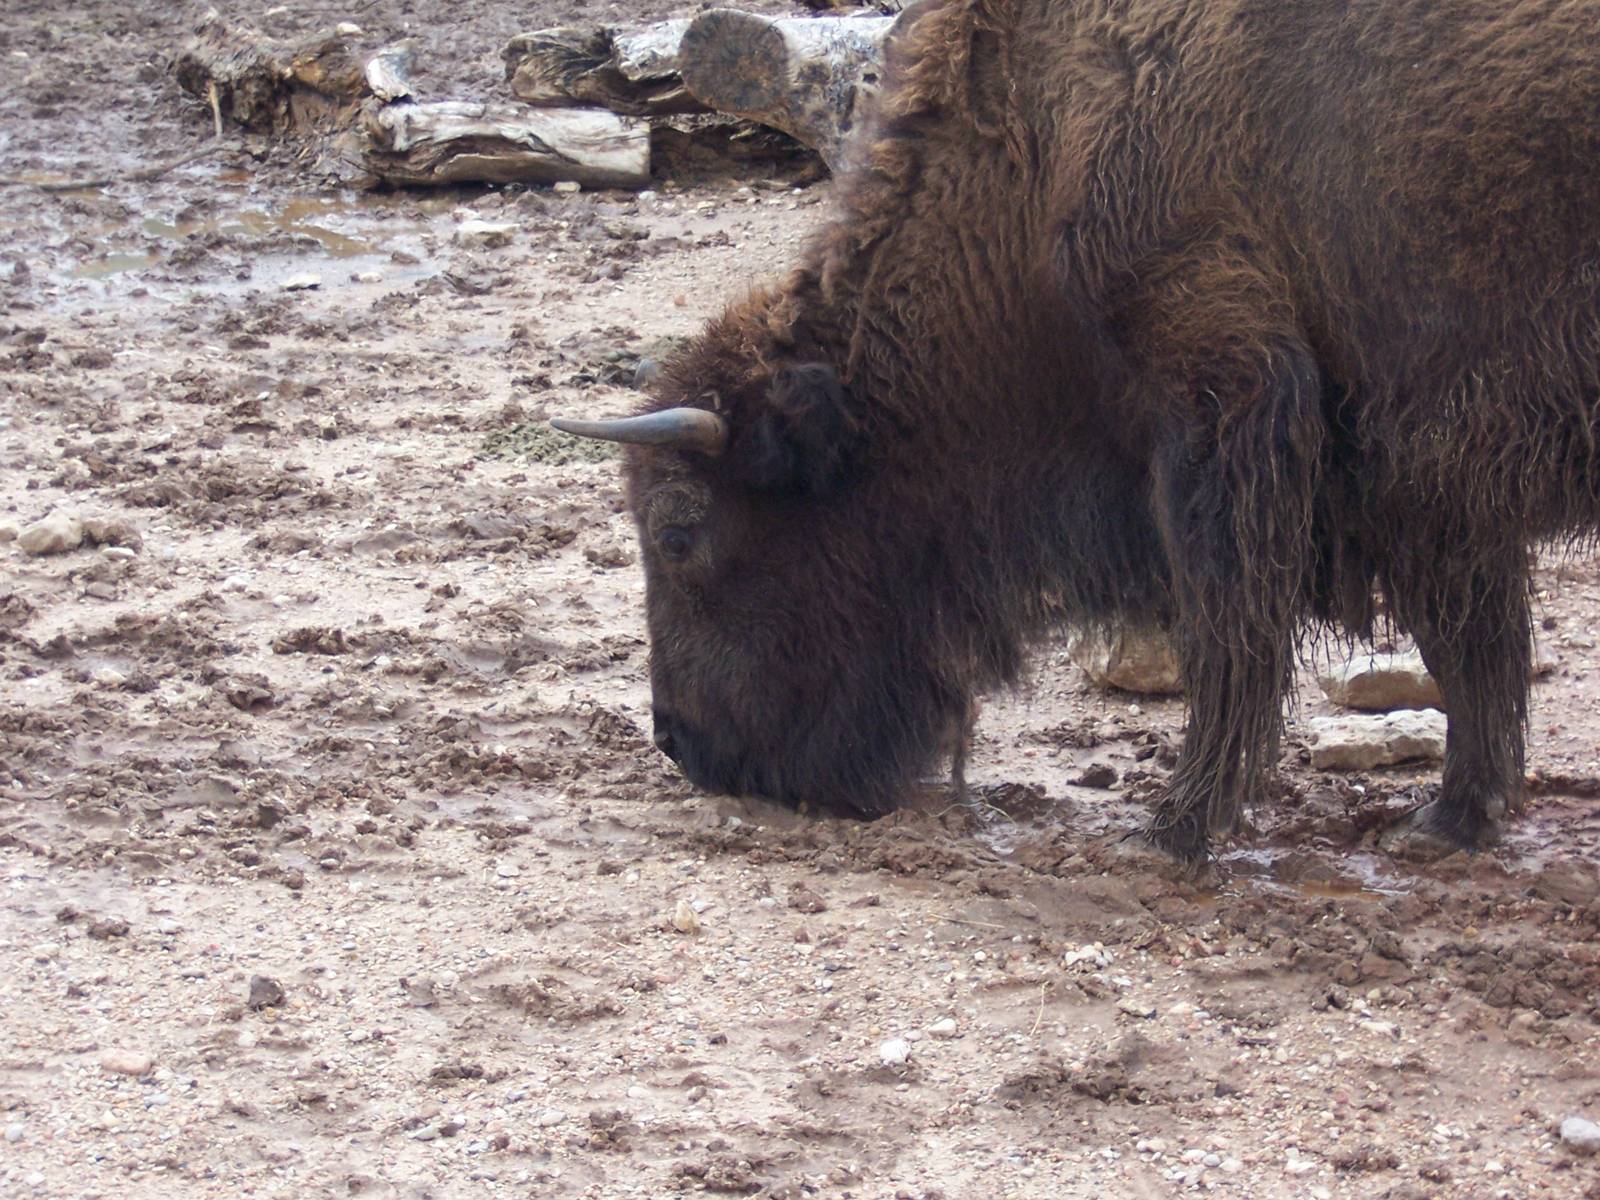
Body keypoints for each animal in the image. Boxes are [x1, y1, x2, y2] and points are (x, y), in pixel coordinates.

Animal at [555, 0, 1600, 863]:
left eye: (679, 532)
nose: (679, 741)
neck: (1045, 137)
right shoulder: (1421, 463)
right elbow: (1469, 636)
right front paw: (1452, 820)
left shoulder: (1225, 398)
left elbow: (1232, 623)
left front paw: (1174, 828)